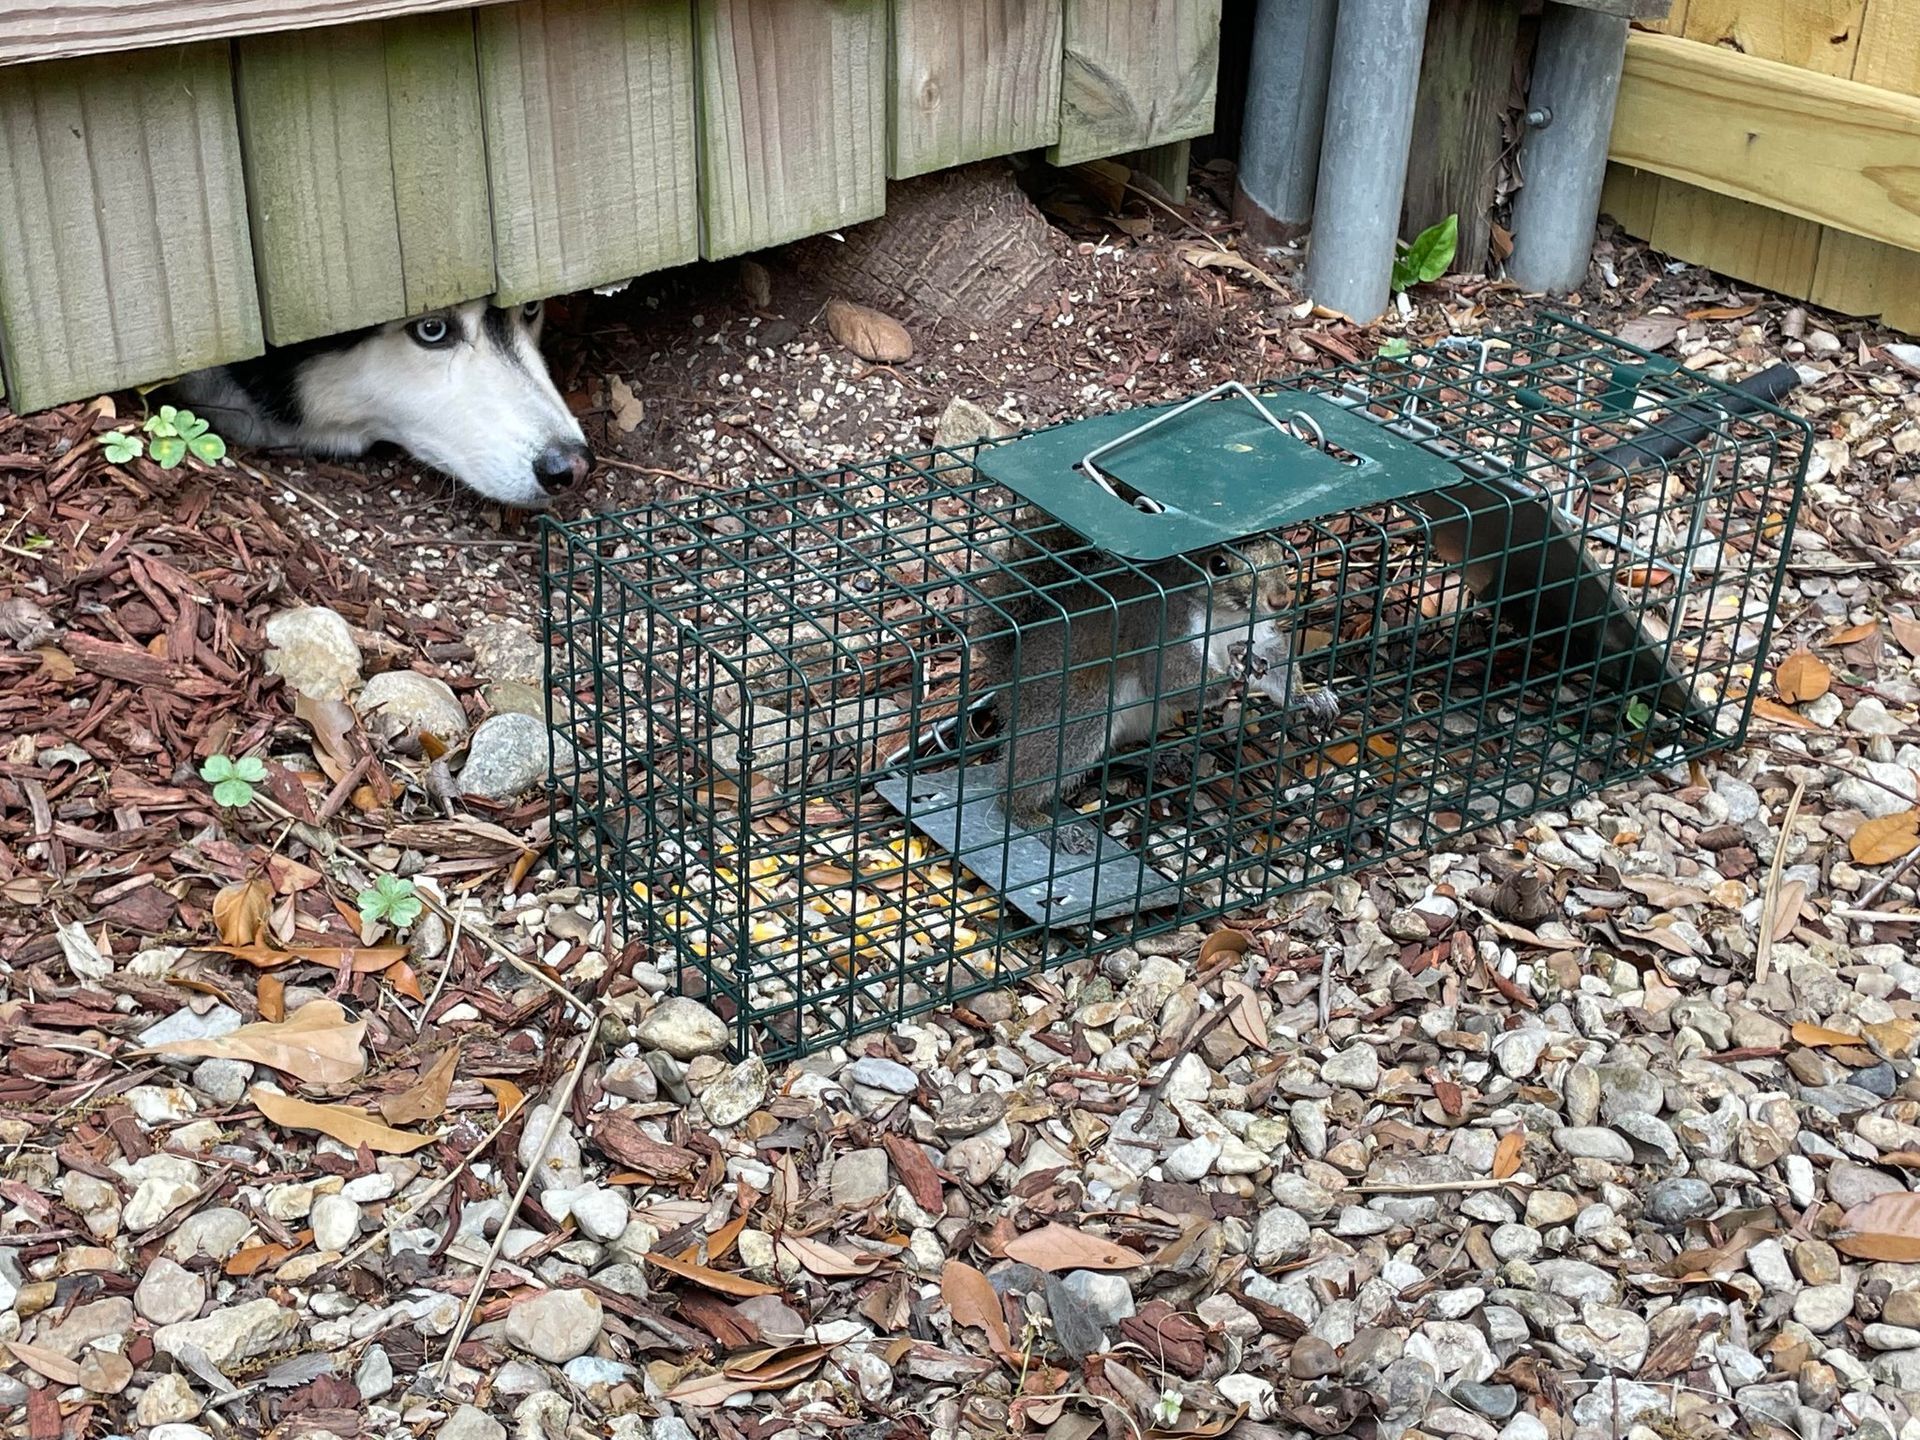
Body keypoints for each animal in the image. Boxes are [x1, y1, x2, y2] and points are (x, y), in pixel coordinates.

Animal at [967, 511, 1341, 852]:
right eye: (1219, 565)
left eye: (1279, 550)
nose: (1280, 600)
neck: (1227, 618)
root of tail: (1011, 673)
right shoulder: (1165, 631)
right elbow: (1172, 679)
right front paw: (1229, 679)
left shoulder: (1261, 639)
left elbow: (1279, 669)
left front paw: (1308, 697)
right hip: (1078, 712)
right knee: (1021, 783)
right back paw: (1039, 821)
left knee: (1111, 752)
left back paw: (1158, 757)